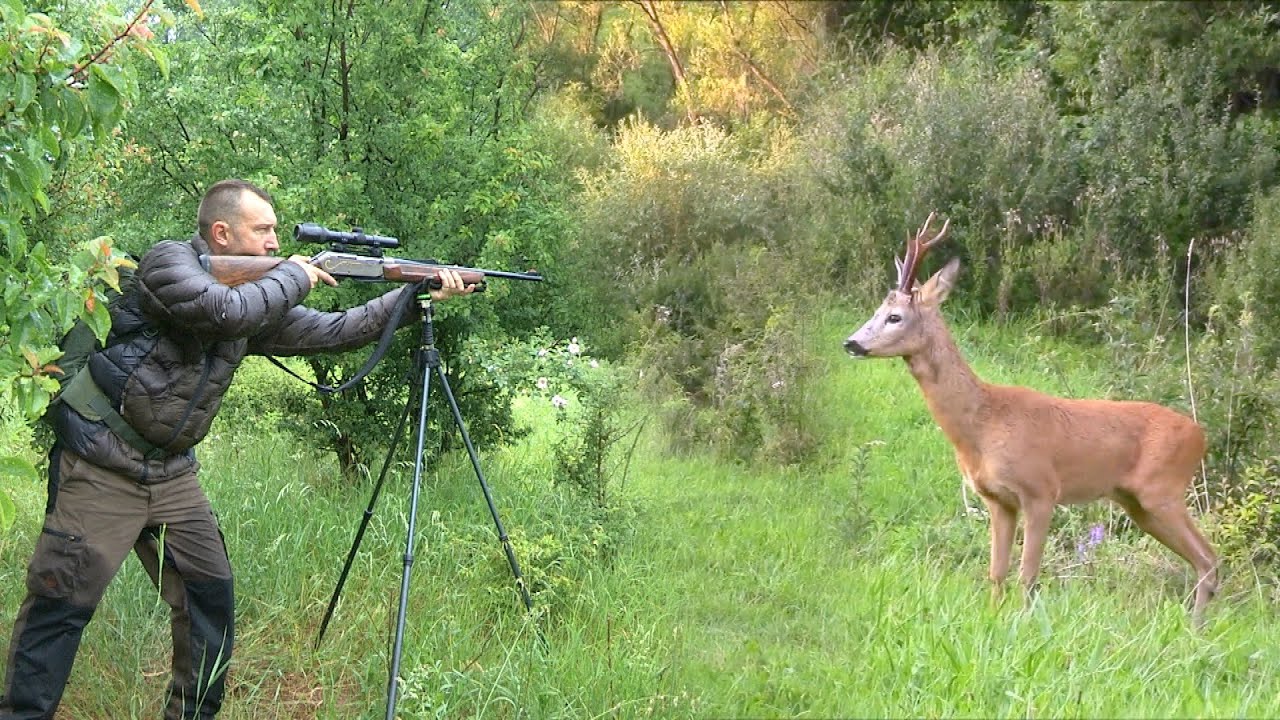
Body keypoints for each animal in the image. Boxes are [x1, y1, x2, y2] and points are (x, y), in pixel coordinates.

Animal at [843, 213, 1219, 627]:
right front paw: (993, 619)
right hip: (1137, 504)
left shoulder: (1041, 490)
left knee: (1209, 557)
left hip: (1162, 491)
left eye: (894, 317)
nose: (851, 343)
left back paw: (1196, 628)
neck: (983, 425)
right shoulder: (997, 499)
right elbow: (996, 571)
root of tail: (1201, 435)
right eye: (876, 311)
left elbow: (1028, 573)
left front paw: (1022, 624)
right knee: (1205, 559)